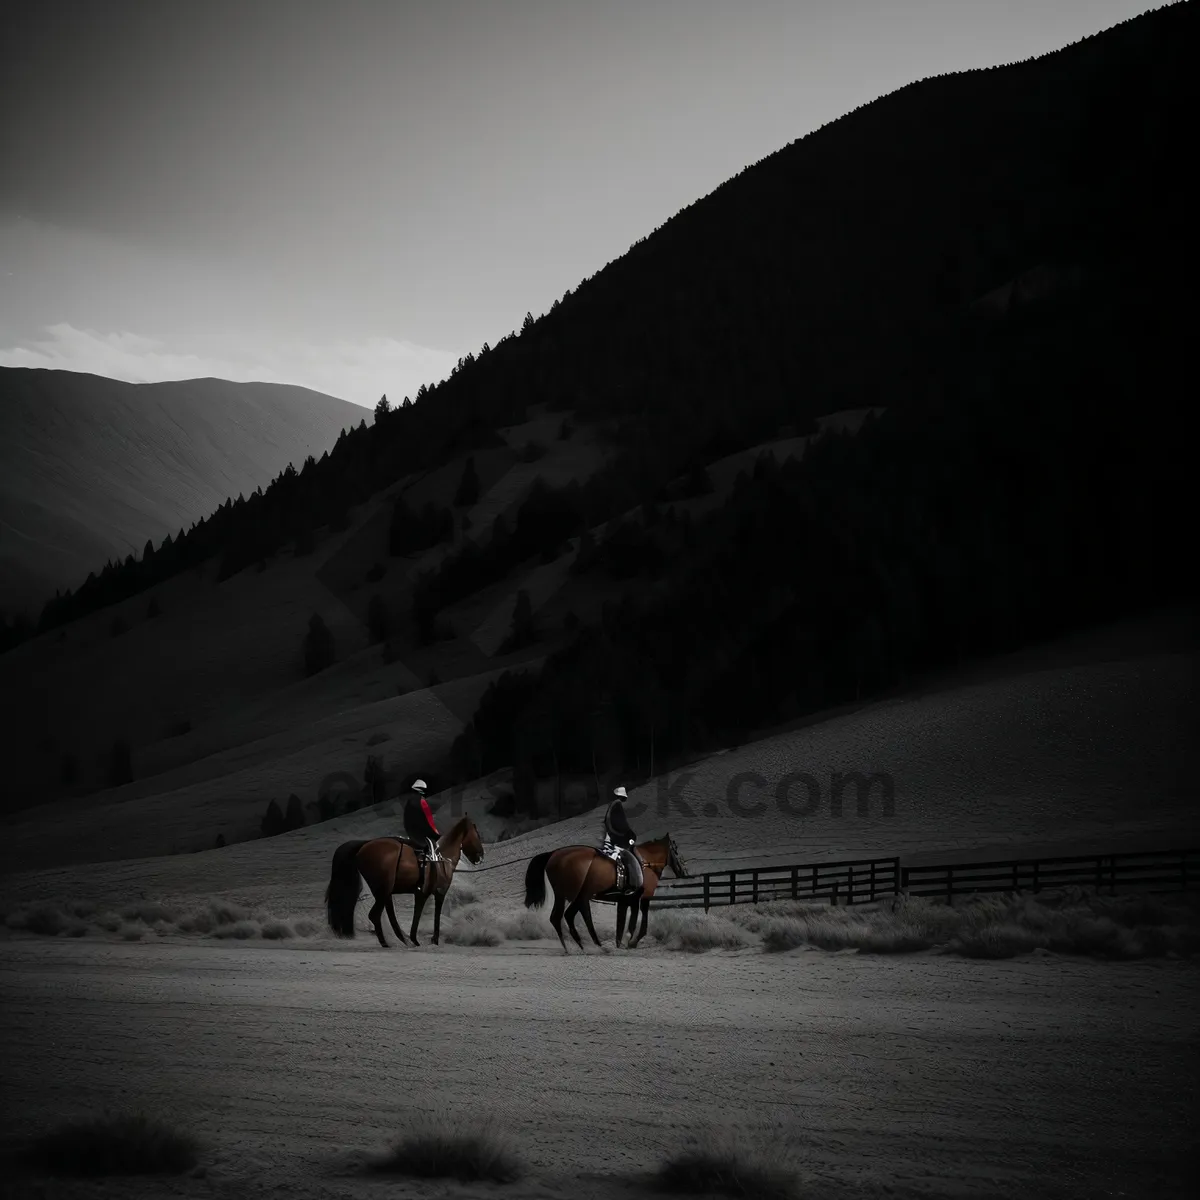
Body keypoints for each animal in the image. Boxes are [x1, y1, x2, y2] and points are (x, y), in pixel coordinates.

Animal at [326, 816, 484, 945]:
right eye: (477, 834)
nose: (480, 856)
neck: (442, 859)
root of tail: (364, 846)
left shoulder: (424, 894)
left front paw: (421, 939)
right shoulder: (433, 893)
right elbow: (426, 915)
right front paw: (427, 939)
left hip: (385, 892)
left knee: (386, 914)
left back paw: (400, 938)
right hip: (383, 890)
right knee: (375, 915)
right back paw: (387, 942)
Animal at [523, 835, 691, 955]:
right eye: (676, 849)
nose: (684, 871)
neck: (645, 863)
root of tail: (554, 853)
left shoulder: (626, 900)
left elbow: (623, 922)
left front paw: (622, 942)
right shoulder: (641, 898)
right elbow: (637, 922)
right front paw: (631, 942)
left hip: (571, 895)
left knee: (564, 916)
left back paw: (582, 946)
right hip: (576, 895)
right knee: (564, 916)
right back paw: (584, 947)